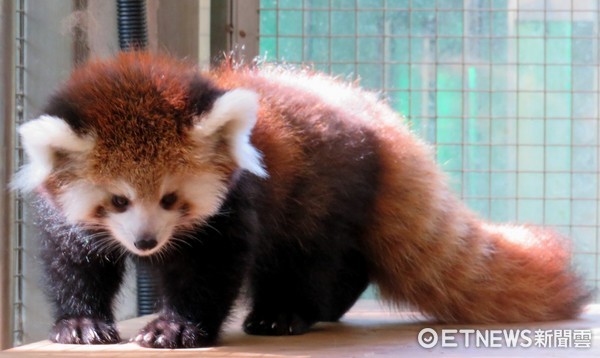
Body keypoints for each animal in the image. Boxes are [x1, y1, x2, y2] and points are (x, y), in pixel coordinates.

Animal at [12, 51, 592, 348]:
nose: (146, 242)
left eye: (172, 198)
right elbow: (73, 265)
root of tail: (375, 114)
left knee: (304, 255)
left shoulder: (233, 206)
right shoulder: (64, 217)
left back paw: (285, 313)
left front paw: (176, 327)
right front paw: (79, 323)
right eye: (117, 201)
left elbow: (209, 270)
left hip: (323, 193)